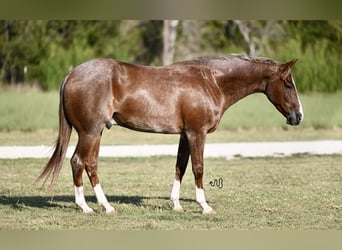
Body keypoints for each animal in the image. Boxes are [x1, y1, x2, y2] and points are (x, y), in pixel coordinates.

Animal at [38, 54, 304, 215]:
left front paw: (176, 204)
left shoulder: (185, 135)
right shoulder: (197, 133)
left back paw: (107, 206)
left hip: (96, 133)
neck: (212, 81)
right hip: (90, 132)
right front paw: (204, 206)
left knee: (90, 164)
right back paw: (85, 207)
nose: (298, 116)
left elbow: (180, 166)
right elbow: (198, 168)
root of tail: (72, 74)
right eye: (288, 84)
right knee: (77, 162)